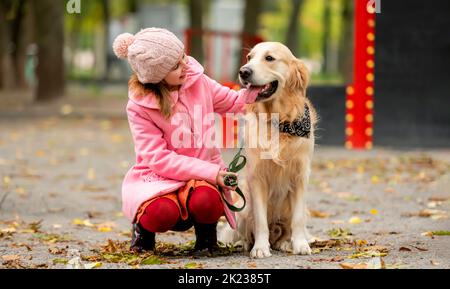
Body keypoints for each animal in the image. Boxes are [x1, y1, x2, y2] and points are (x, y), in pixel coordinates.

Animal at [219, 41, 318, 258]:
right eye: (249, 58)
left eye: (269, 58)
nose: (244, 71)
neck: (278, 120)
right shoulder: (257, 178)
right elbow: (260, 221)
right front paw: (260, 248)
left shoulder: (300, 175)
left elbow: (298, 219)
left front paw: (300, 244)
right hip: (242, 208)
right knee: (247, 231)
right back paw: (247, 244)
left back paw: (285, 243)